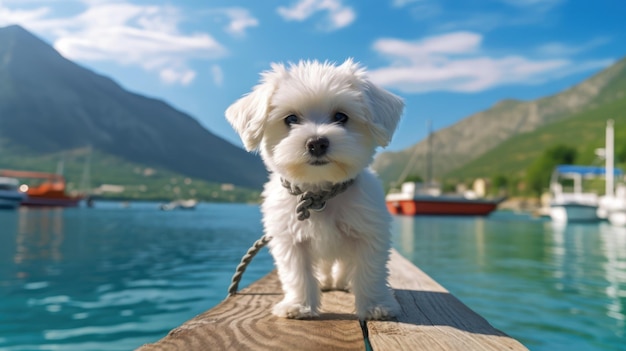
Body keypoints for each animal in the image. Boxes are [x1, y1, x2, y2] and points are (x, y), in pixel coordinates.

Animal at [227, 59, 402, 320]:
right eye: (291, 119)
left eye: (341, 116)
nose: (317, 142)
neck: (320, 194)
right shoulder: (290, 239)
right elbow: (297, 273)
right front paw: (298, 305)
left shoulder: (368, 232)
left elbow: (370, 270)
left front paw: (375, 305)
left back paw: (341, 282)